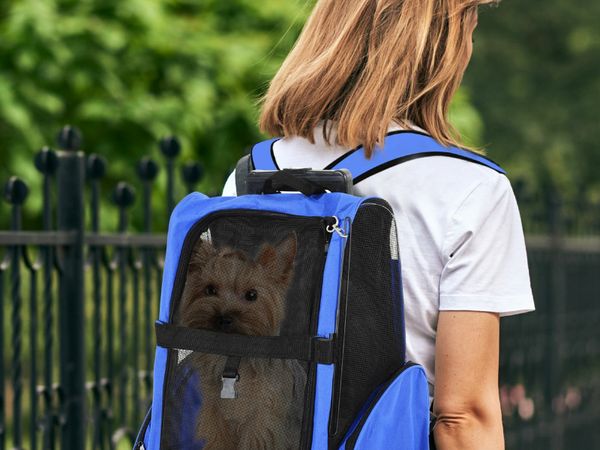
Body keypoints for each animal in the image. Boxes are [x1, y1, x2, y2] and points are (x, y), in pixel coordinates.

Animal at [173, 234, 304, 450]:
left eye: (252, 295)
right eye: (210, 289)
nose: (223, 318)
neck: (233, 362)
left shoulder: (262, 423)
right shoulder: (215, 416)